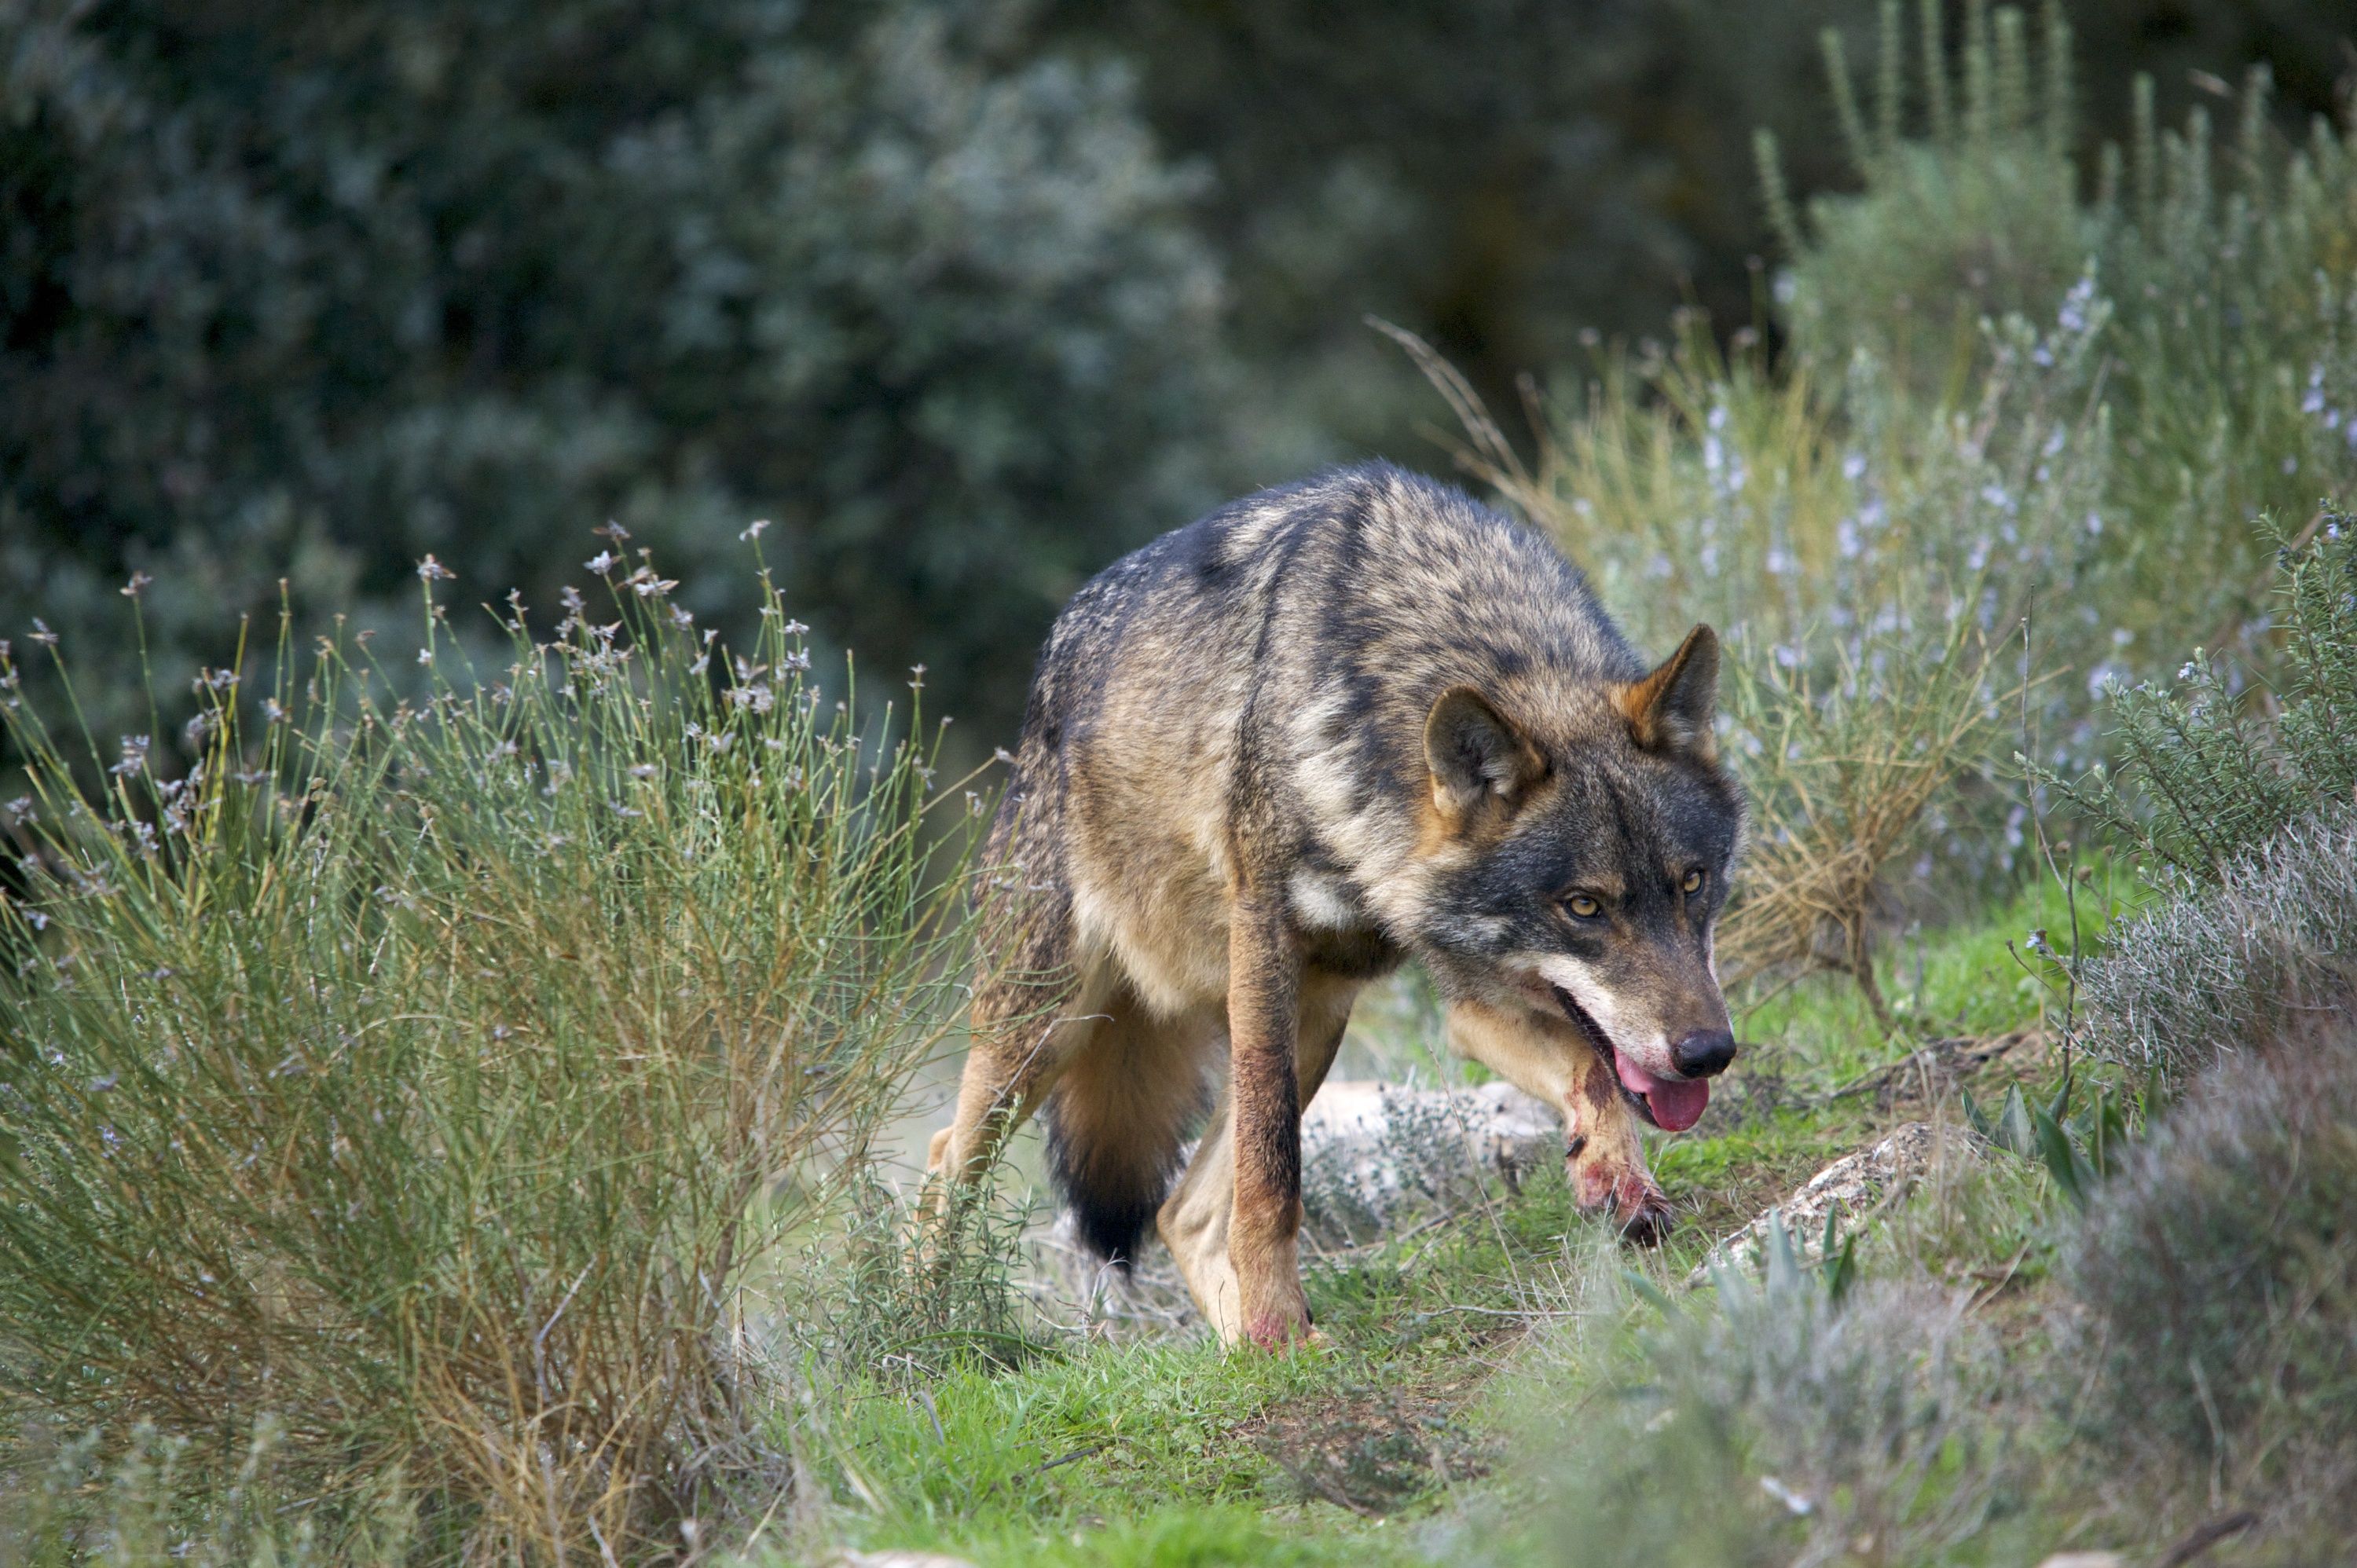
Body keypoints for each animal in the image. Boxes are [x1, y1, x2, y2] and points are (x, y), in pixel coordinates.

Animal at [929, 455, 1744, 1348]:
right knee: (943, 1163)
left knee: (1182, 1213)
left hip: (1316, 1019)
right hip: (1049, 1031)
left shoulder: (1473, 995)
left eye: (1693, 883)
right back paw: (925, 1327)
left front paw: (1617, 1181)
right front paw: (1276, 1318)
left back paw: (1254, 1352)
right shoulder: (1264, 942)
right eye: (1585, 907)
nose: (1709, 1053)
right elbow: (1272, 1174)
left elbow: (1591, 1072)